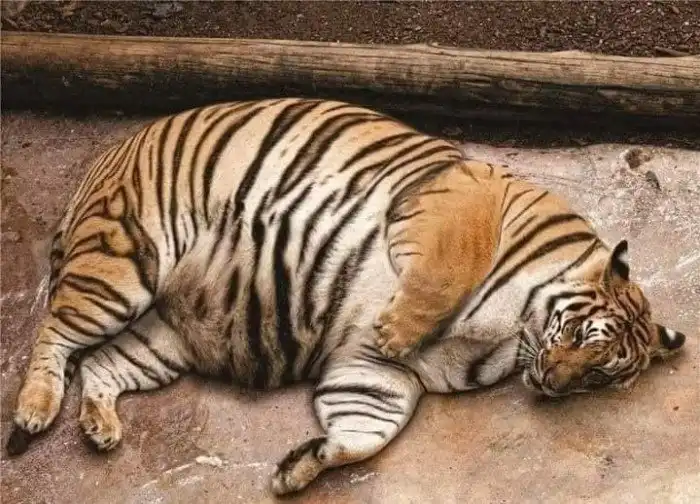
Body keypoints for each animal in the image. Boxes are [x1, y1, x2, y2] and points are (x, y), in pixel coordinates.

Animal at [6, 98, 686, 496]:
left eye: (600, 375)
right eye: (578, 336)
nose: (552, 384)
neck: (514, 336)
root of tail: (105, 159)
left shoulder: (381, 374)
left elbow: (367, 427)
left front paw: (301, 465)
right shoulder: (458, 198)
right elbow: (446, 270)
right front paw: (398, 326)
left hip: (162, 337)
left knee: (99, 364)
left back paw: (99, 427)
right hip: (123, 266)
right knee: (54, 333)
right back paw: (34, 410)